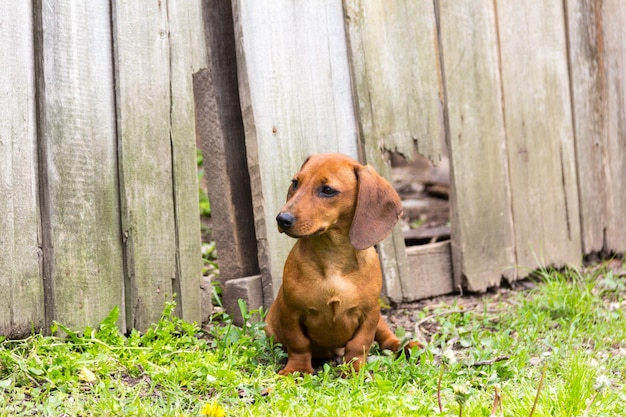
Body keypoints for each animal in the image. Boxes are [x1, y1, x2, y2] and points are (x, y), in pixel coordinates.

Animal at [264, 153, 420, 374]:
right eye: (295, 183)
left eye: (328, 190)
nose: (282, 219)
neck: (333, 260)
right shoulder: (290, 311)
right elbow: (299, 344)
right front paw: (297, 369)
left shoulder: (369, 314)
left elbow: (359, 344)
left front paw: (355, 370)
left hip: (379, 320)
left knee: (386, 338)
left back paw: (407, 346)